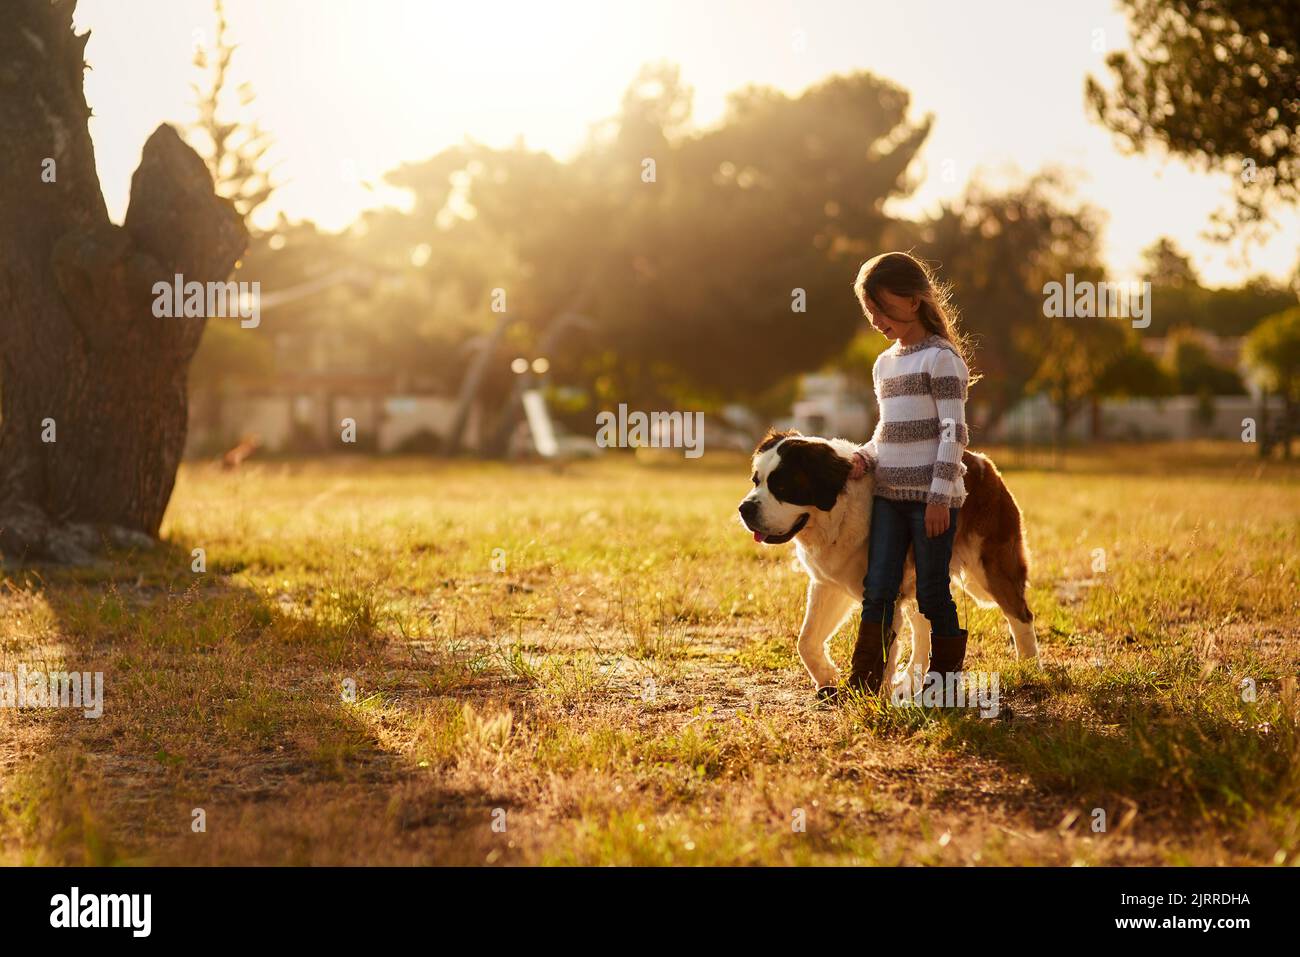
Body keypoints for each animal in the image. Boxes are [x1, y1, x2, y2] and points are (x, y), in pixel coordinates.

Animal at [743, 431, 1034, 696]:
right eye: (756, 481)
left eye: (782, 487)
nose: (744, 508)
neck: (838, 513)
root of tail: (982, 462)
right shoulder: (829, 584)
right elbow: (806, 640)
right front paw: (827, 678)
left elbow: (885, 652)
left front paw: (872, 697)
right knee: (924, 628)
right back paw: (913, 682)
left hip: (991, 567)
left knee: (1019, 613)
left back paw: (1028, 668)